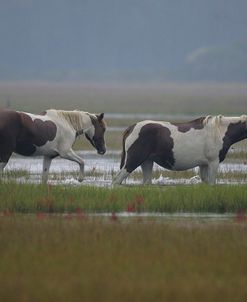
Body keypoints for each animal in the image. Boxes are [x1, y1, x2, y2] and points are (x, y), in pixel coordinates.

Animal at [113, 115, 247, 185]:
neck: (220, 131)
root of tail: (131, 128)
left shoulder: (203, 164)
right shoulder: (213, 162)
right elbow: (212, 183)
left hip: (147, 162)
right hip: (134, 160)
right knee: (117, 180)